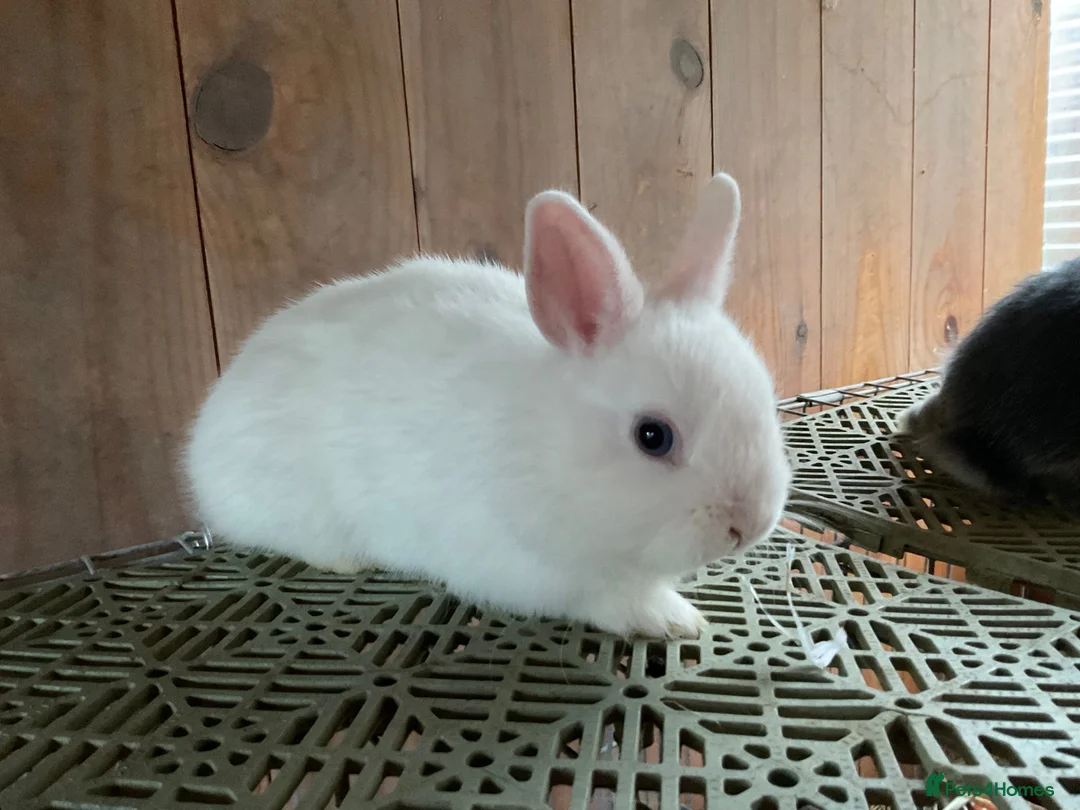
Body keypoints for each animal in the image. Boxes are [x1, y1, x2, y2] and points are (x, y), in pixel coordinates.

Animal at [183, 173, 792, 640]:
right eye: (653, 436)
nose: (749, 523)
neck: (542, 446)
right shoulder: (539, 570)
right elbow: (609, 599)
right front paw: (674, 620)